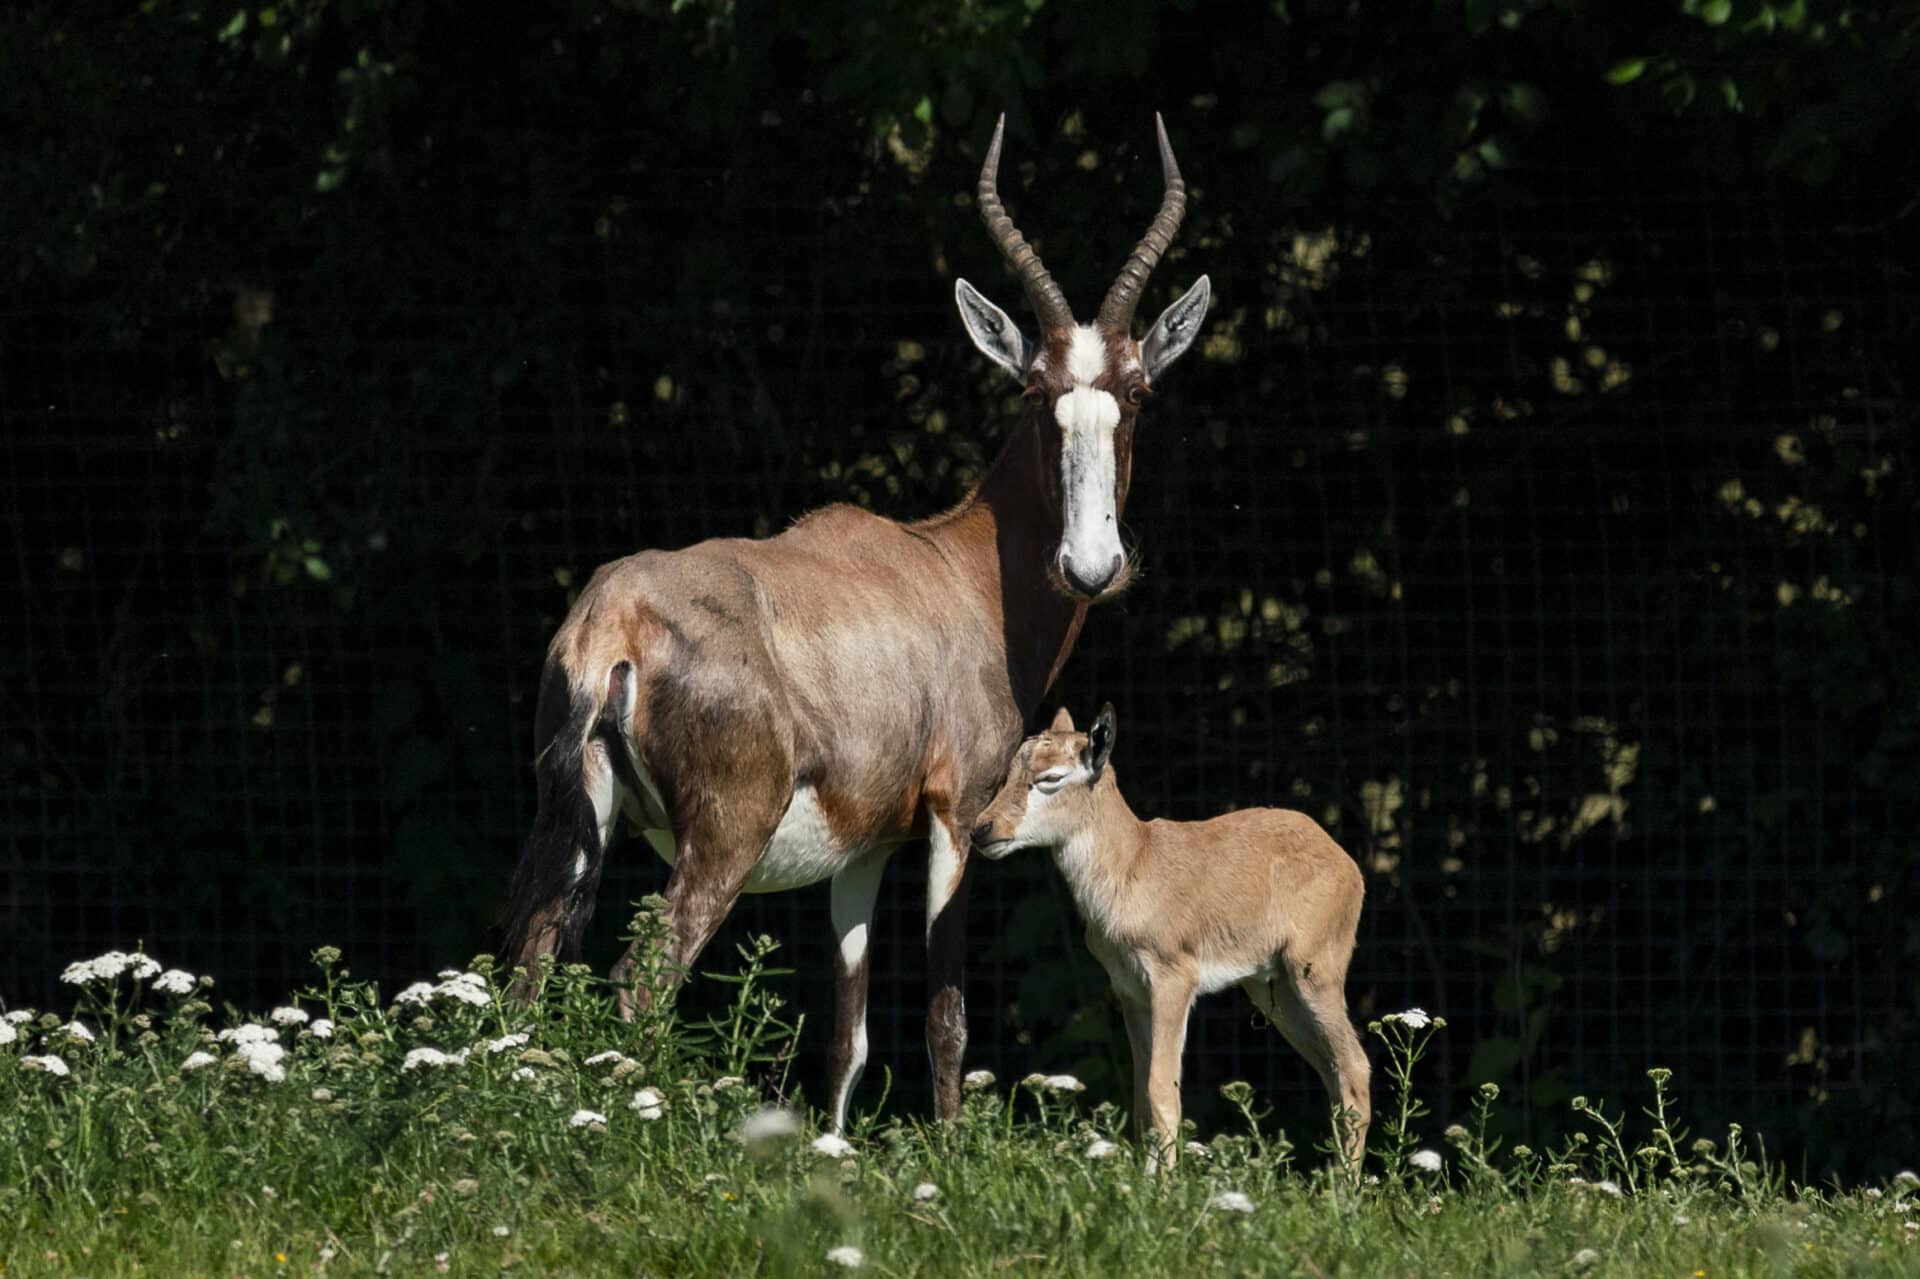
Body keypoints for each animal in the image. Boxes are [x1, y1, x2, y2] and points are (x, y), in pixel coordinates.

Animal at [499, 111, 1213, 1129]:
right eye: (1035, 391)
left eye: (1138, 392)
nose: (1091, 565)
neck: (950, 570)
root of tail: (612, 622)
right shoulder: (959, 816)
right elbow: (947, 1018)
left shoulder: (859, 853)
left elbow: (848, 1039)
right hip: (723, 840)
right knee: (640, 983)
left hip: (575, 828)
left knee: (523, 975)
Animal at [975, 702, 1367, 1159]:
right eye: (1008, 772)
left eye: (1051, 777)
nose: (982, 830)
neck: (1133, 865)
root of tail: (1347, 864)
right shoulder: (1130, 990)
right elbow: (1141, 1096)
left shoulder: (1173, 980)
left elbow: (1162, 1089)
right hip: (1274, 989)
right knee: (1331, 1069)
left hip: (1316, 973)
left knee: (1355, 1066)